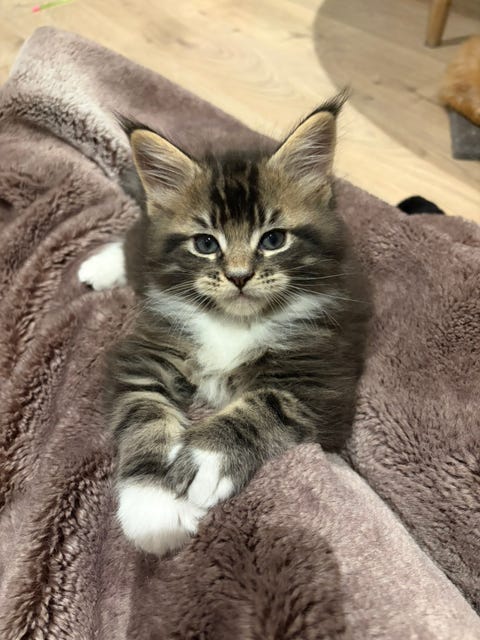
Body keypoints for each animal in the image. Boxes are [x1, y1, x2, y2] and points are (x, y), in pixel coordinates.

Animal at [78, 95, 371, 555]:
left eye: (273, 240)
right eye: (205, 244)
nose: (238, 276)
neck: (235, 321)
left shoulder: (322, 376)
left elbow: (264, 405)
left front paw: (205, 457)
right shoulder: (148, 353)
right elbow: (144, 415)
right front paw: (152, 509)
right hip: (144, 245)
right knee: (129, 244)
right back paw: (98, 267)